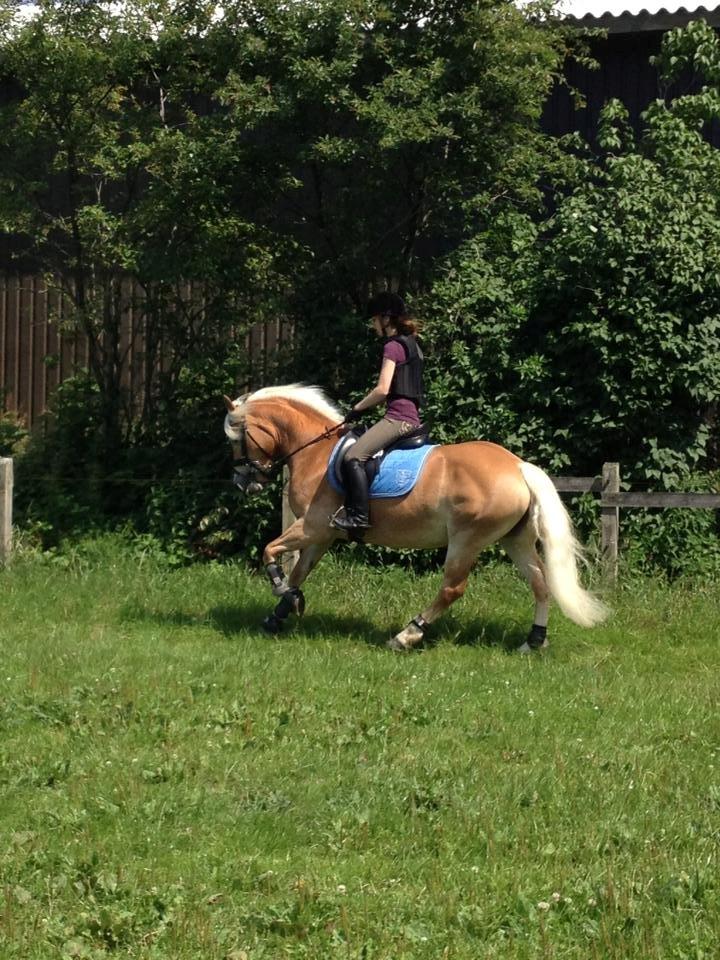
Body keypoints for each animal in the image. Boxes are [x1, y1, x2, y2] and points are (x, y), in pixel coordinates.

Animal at [224, 384, 608, 652]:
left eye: (236, 439)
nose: (242, 482)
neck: (317, 451)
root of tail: (517, 466)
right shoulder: (323, 534)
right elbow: (300, 571)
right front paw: (280, 612)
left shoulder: (313, 526)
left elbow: (270, 551)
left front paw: (280, 590)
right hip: (515, 539)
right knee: (540, 584)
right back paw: (533, 641)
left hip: (466, 540)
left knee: (452, 589)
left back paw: (407, 635)